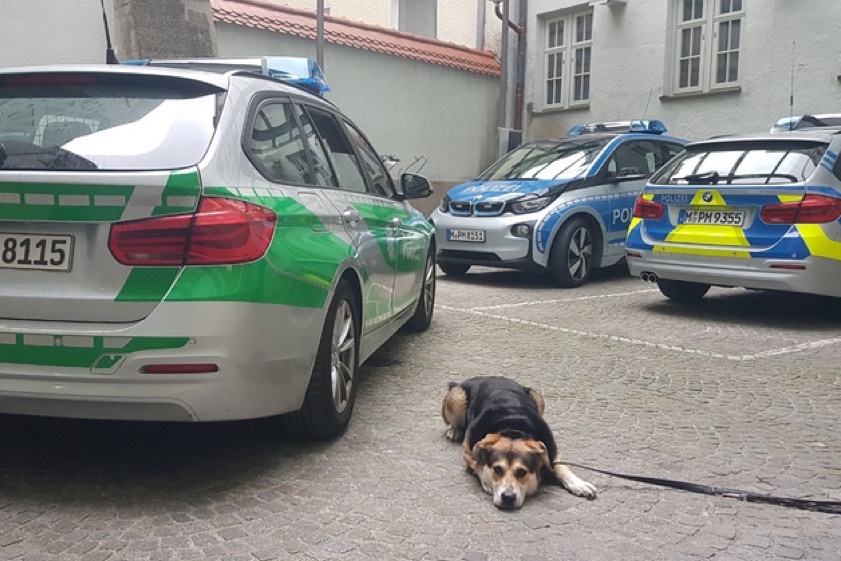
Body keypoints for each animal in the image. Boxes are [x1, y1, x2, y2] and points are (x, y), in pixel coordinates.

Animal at [441, 376, 597, 509]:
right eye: (497, 470)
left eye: (522, 472)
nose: (508, 497)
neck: (513, 428)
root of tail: (486, 377)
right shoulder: (468, 451)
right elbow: (477, 465)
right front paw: (487, 483)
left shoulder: (552, 450)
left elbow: (561, 467)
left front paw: (578, 484)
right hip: (456, 398)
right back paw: (454, 430)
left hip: (537, 397)